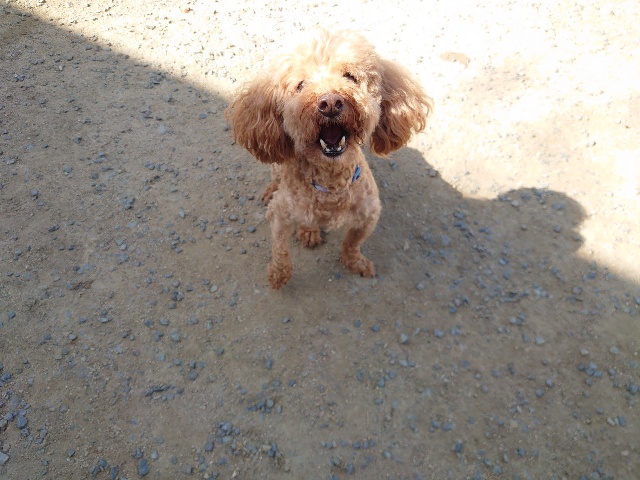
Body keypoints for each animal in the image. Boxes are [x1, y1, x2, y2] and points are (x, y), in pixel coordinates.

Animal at [225, 30, 432, 289]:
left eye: (350, 77)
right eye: (300, 85)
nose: (330, 103)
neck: (331, 186)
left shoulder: (369, 215)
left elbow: (352, 244)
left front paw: (356, 263)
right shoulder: (279, 214)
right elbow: (280, 250)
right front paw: (279, 275)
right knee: (276, 177)